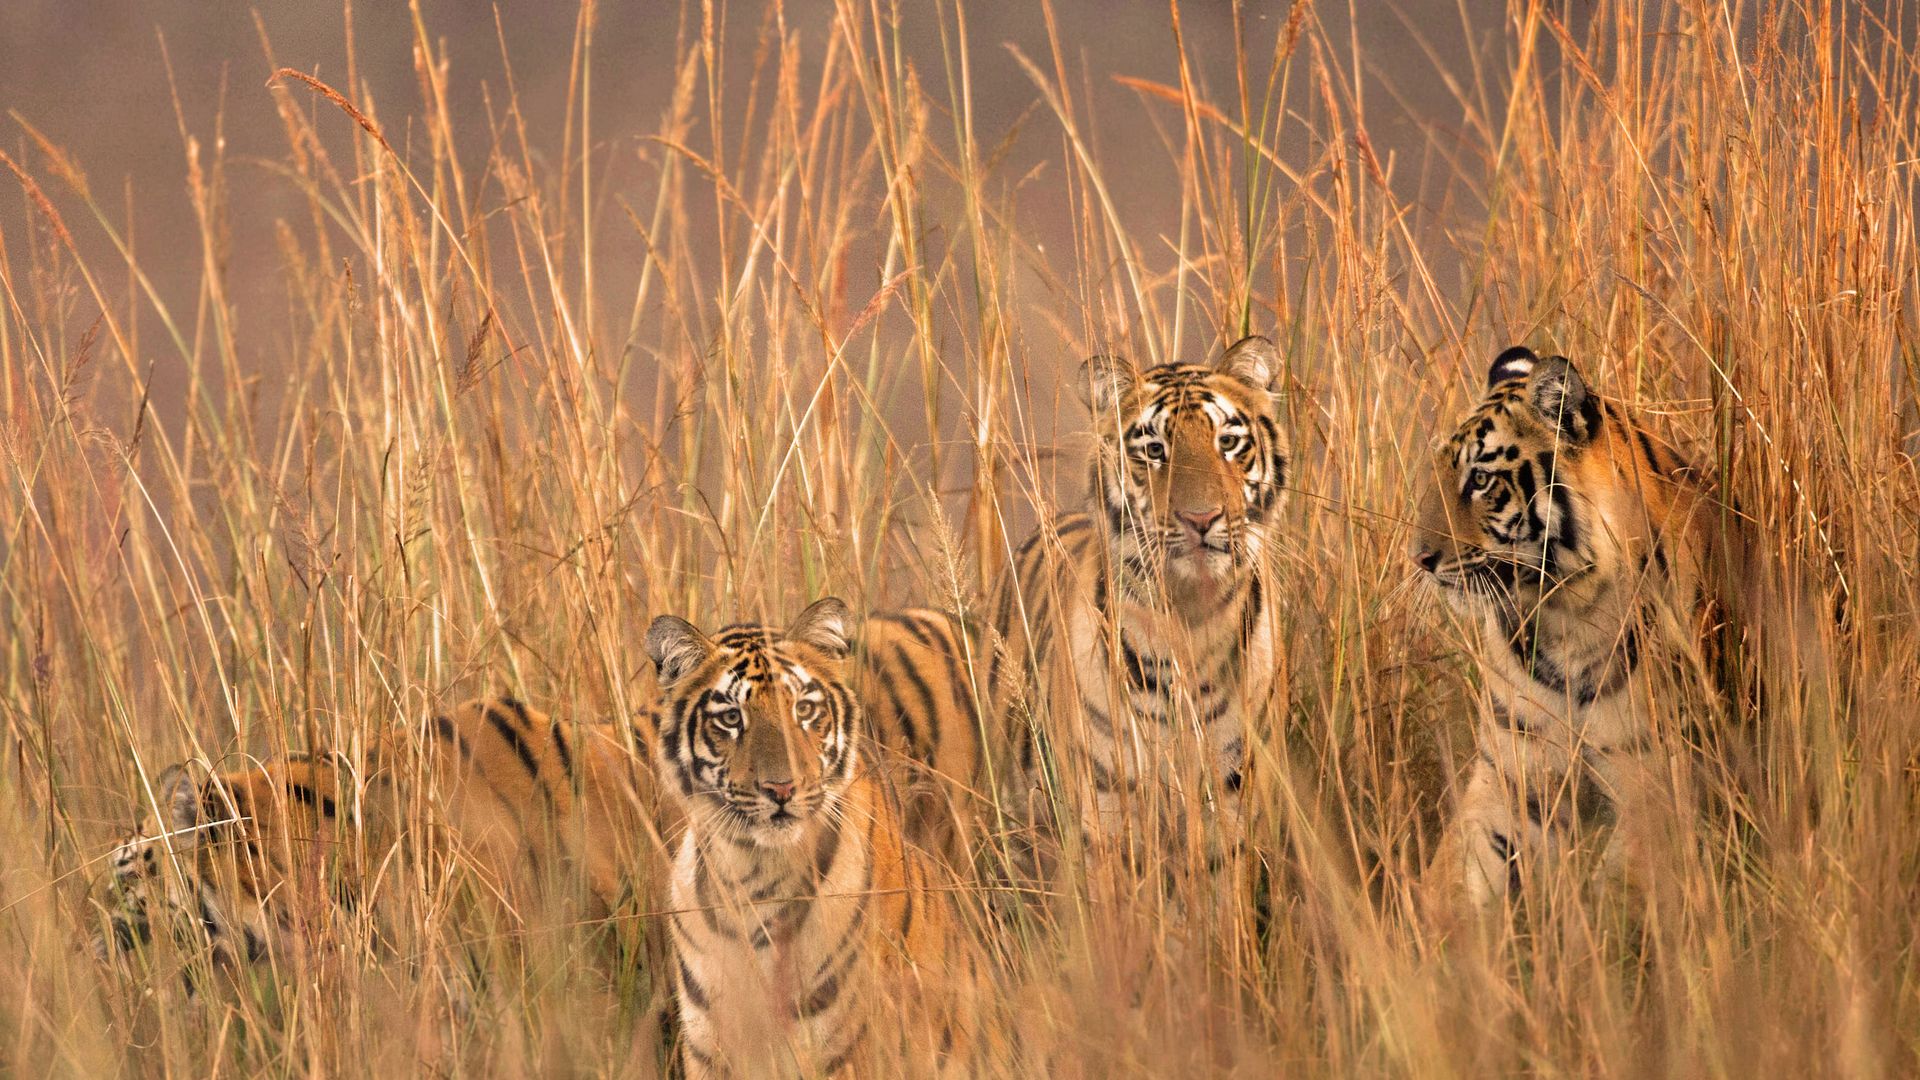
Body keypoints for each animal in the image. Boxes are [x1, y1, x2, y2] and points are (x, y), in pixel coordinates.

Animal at [647, 597, 980, 1078]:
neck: (750, 872)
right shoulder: (708, 1046)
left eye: (803, 710)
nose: (781, 788)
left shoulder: (846, 1051)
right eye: (731, 718)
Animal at [987, 333, 1289, 878]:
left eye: (1228, 443)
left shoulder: (1233, 807)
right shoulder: (1106, 817)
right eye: (1154, 451)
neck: (1190, 622)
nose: (1201, 518)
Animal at [1409, 344, 1824, 911]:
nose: (1420, 559)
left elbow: (1613, 898)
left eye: (1480, 479)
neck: (1562, 615)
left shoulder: (1652, 780)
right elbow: (1452, 879)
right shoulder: (1508, 777)